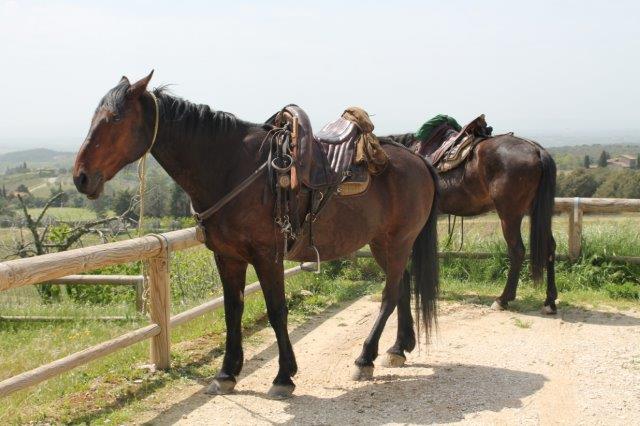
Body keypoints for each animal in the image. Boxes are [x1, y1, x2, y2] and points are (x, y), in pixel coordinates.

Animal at [73, 72, 439, 399]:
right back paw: (398, 348)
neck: (232, 168)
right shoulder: (227, 256)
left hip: (398, 241)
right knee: (402, 286)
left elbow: (277, 311)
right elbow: (232, 309)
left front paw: (284, 377)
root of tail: (417, 159)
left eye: (115, 119)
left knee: (389, 294)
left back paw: (365, 358)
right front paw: (226, 374)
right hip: (383, 243)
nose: (81, 177)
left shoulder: (267, 256)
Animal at [384, 131, 557, 313]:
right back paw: (549, 301)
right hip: (536, 212)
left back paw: (502, 299)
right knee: (549, 247)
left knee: (517, 251)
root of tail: (537, 151)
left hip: (509, 215)